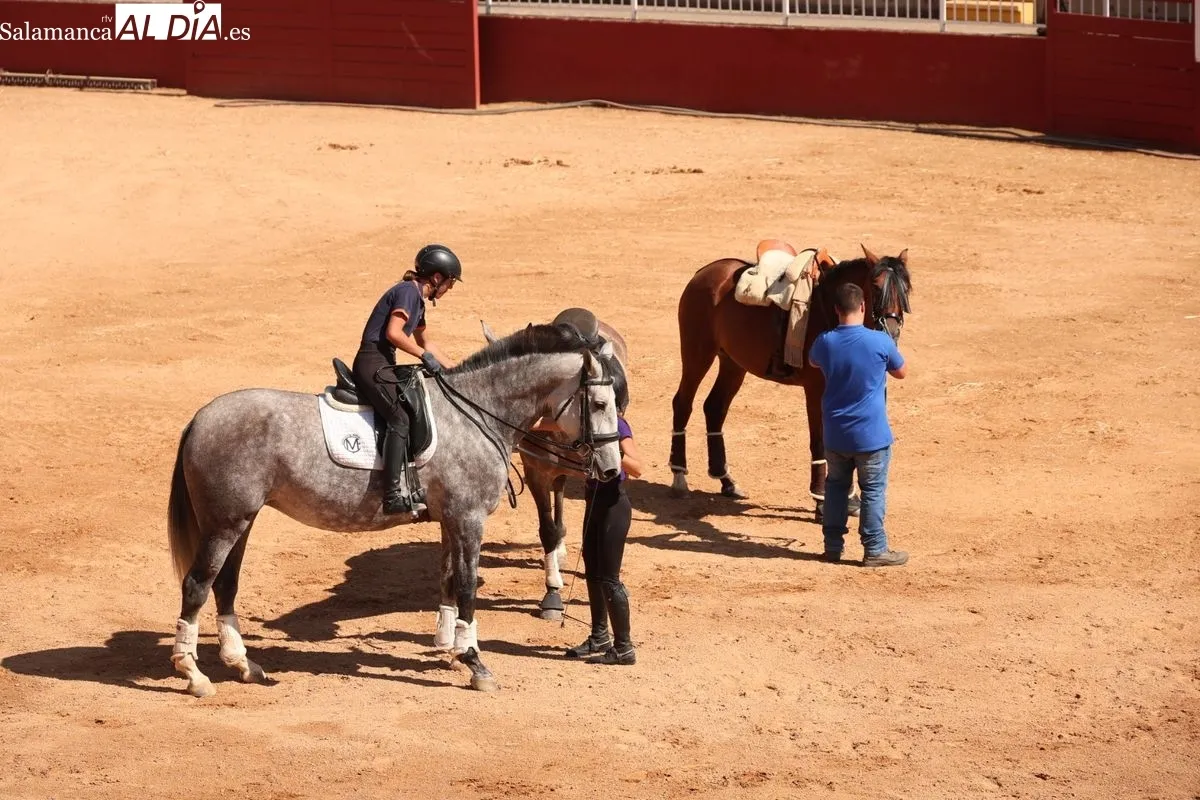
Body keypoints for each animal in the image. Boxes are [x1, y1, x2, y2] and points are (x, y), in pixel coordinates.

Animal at [668, 244, 912, 519]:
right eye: (876, 286)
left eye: (906, 288)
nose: (891, 333)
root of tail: (702, 274)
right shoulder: (816, 390)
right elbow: (819, 441)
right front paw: (821, 501)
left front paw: (849, 500)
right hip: (697, 354)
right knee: (683, 403)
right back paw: (679, 477)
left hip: (732, 363)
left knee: (714, 407)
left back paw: (727, 481)